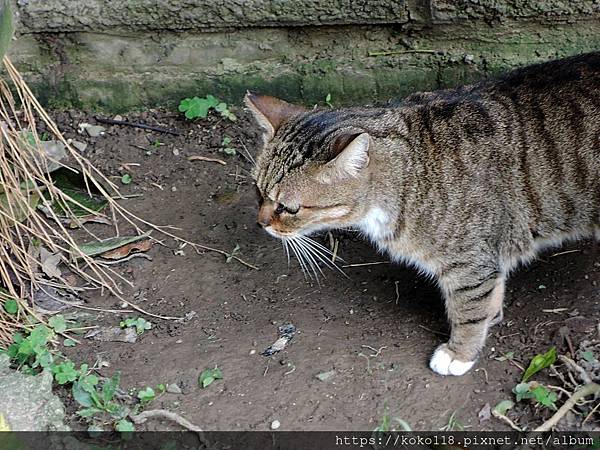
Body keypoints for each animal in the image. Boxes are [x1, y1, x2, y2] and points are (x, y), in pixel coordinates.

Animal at [245, 52, 600, 376]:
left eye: (288, 208)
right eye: (258, 191)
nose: (261, 223)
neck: (411, 173)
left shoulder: (468, 263)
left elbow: (468, 308)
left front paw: (460, 353)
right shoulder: (487, 254)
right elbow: (492, 288)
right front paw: (492, 315)